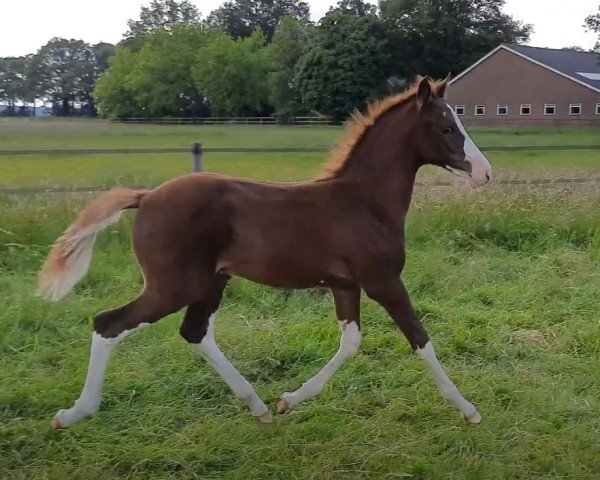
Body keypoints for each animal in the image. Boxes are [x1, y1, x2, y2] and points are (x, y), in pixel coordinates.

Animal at [41, 78, 492, 428]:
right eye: (446, 126)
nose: (485, 173)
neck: (365, 201)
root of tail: (146, 196)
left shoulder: (345, 285)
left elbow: (350, 342)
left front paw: (290, 398)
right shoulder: (383, 280)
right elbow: (420, 338)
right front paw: (467, 409)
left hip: (210, 282)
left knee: (195, 332)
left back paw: (258, 405)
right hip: (171, 286)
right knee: (108, 323)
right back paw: (74, 413)